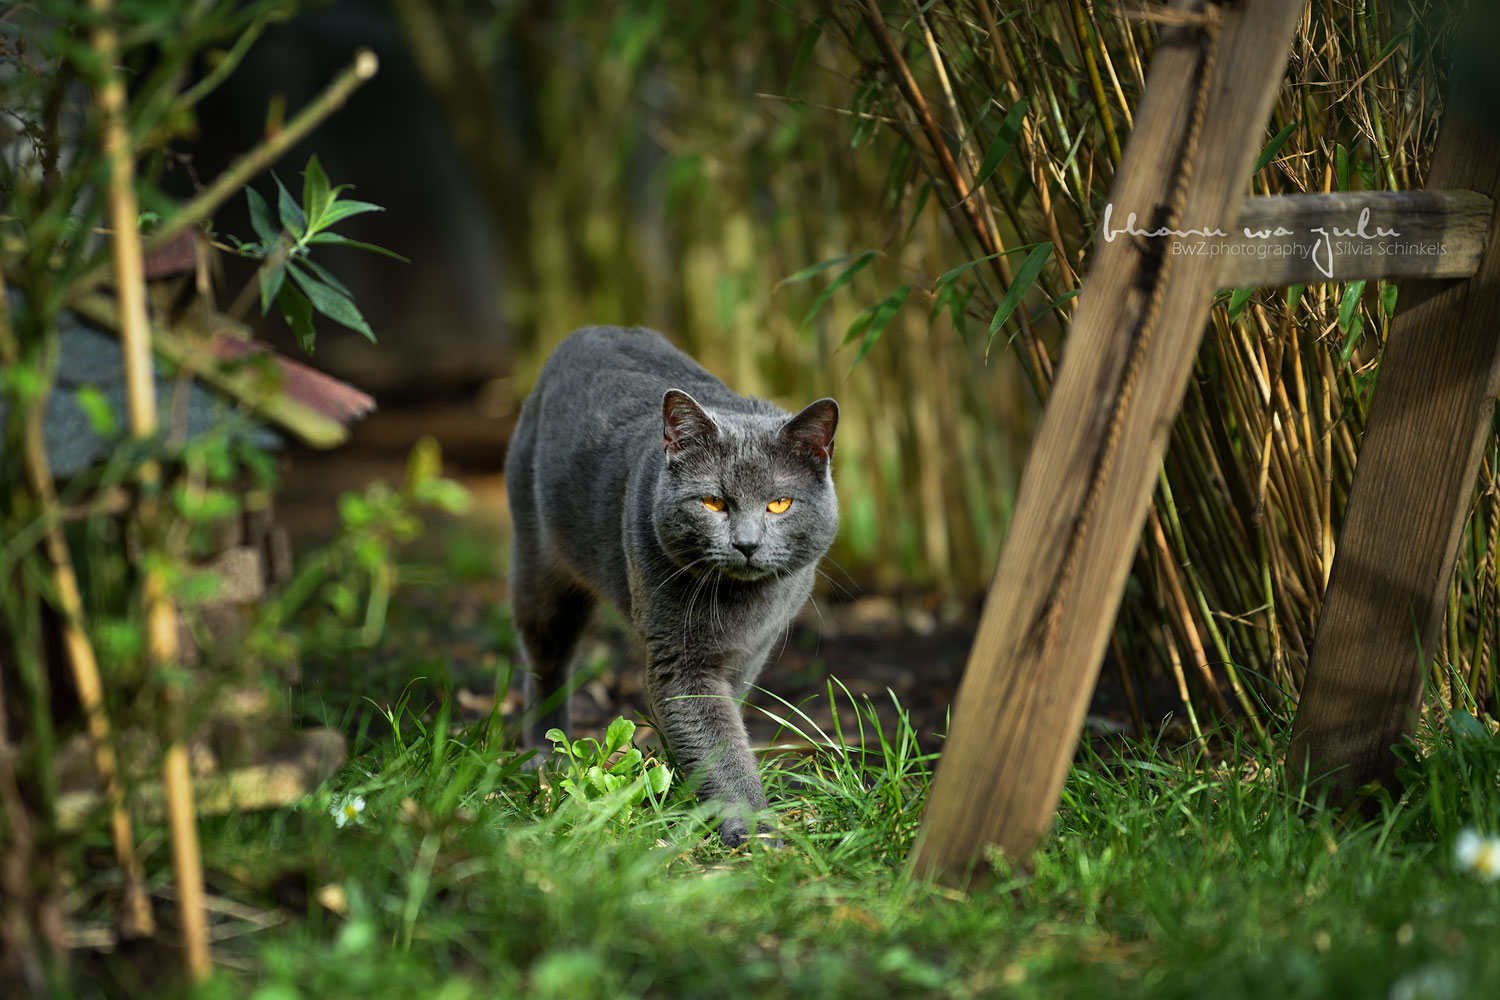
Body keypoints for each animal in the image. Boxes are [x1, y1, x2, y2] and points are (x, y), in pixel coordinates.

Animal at [501, 328, 834, 845]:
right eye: (713, 502)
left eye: (779, 504)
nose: (746, 543)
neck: (743, 605)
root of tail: (590, 330)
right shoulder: (680, 660)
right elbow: (717, 740)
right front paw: (754, 833)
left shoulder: (754, 648)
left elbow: (723, 717)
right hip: (540, 570)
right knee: (546, 663)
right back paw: (545, 758)